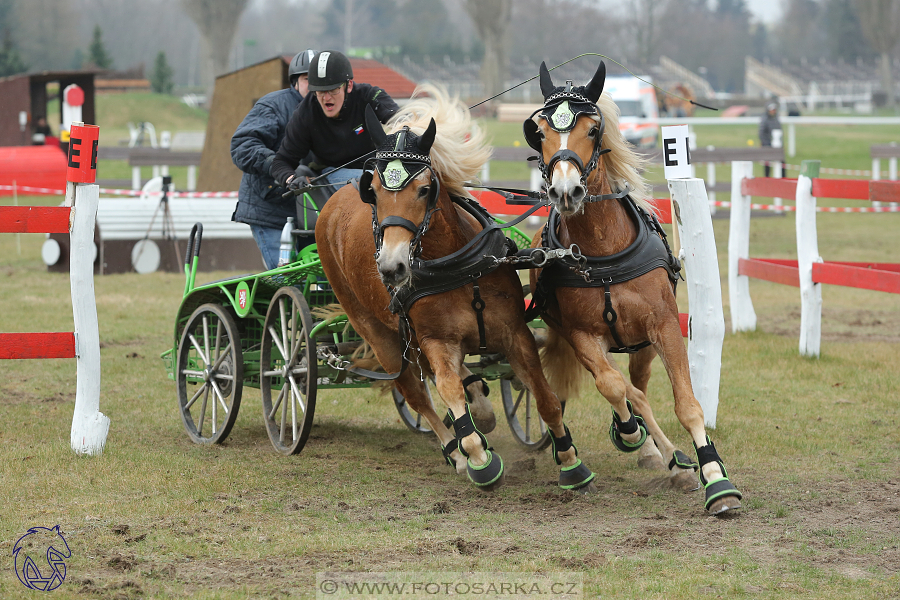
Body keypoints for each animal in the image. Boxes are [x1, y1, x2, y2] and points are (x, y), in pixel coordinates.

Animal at [316, 84, 596, 492]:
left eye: (424, 189)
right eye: (375, 192)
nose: (392, 267)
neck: (455, 267)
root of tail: (333, 201)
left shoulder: (515, 334)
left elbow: (545, 397)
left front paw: (571, 462)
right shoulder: (436, 341)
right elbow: (447, 392)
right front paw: (478, 457)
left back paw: (480, 403)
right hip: (378, 332)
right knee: (417, 392)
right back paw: (457, 450)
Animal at [524, 62, 740, 516]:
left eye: (592, 129)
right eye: (541, 132)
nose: (565, 191)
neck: (603, 254)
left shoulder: (663, 327)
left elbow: (686, 404)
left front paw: (715, 477)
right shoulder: (581, 335)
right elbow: (612, 387)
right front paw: (629, 431)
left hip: (643, 345)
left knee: (639, 381)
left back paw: (664, 456)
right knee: (625, 389)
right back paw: (647, 443)